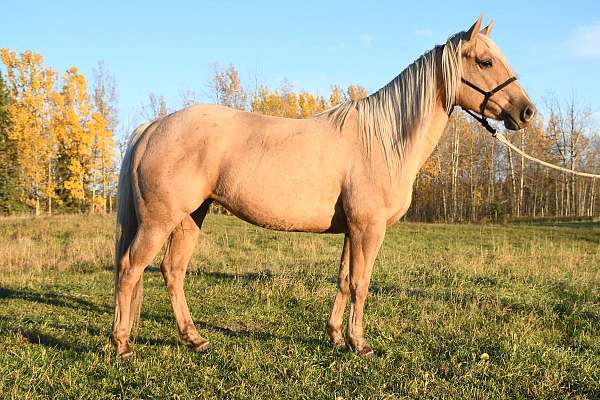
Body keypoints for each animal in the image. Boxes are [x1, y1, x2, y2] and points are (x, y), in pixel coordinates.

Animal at [112, 16, 536, 360]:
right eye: (485, 61)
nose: (526, 112)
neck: (383, 140)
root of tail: (153, 126)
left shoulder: (352, 230)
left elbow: (345, 280)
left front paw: (335, 336)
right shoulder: (368, 228)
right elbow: (362, 283)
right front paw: (360, 343)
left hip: (189, 218)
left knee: (172, 271)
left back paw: (195, 339)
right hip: (160, 220)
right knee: (132, 268)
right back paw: (123, 345)